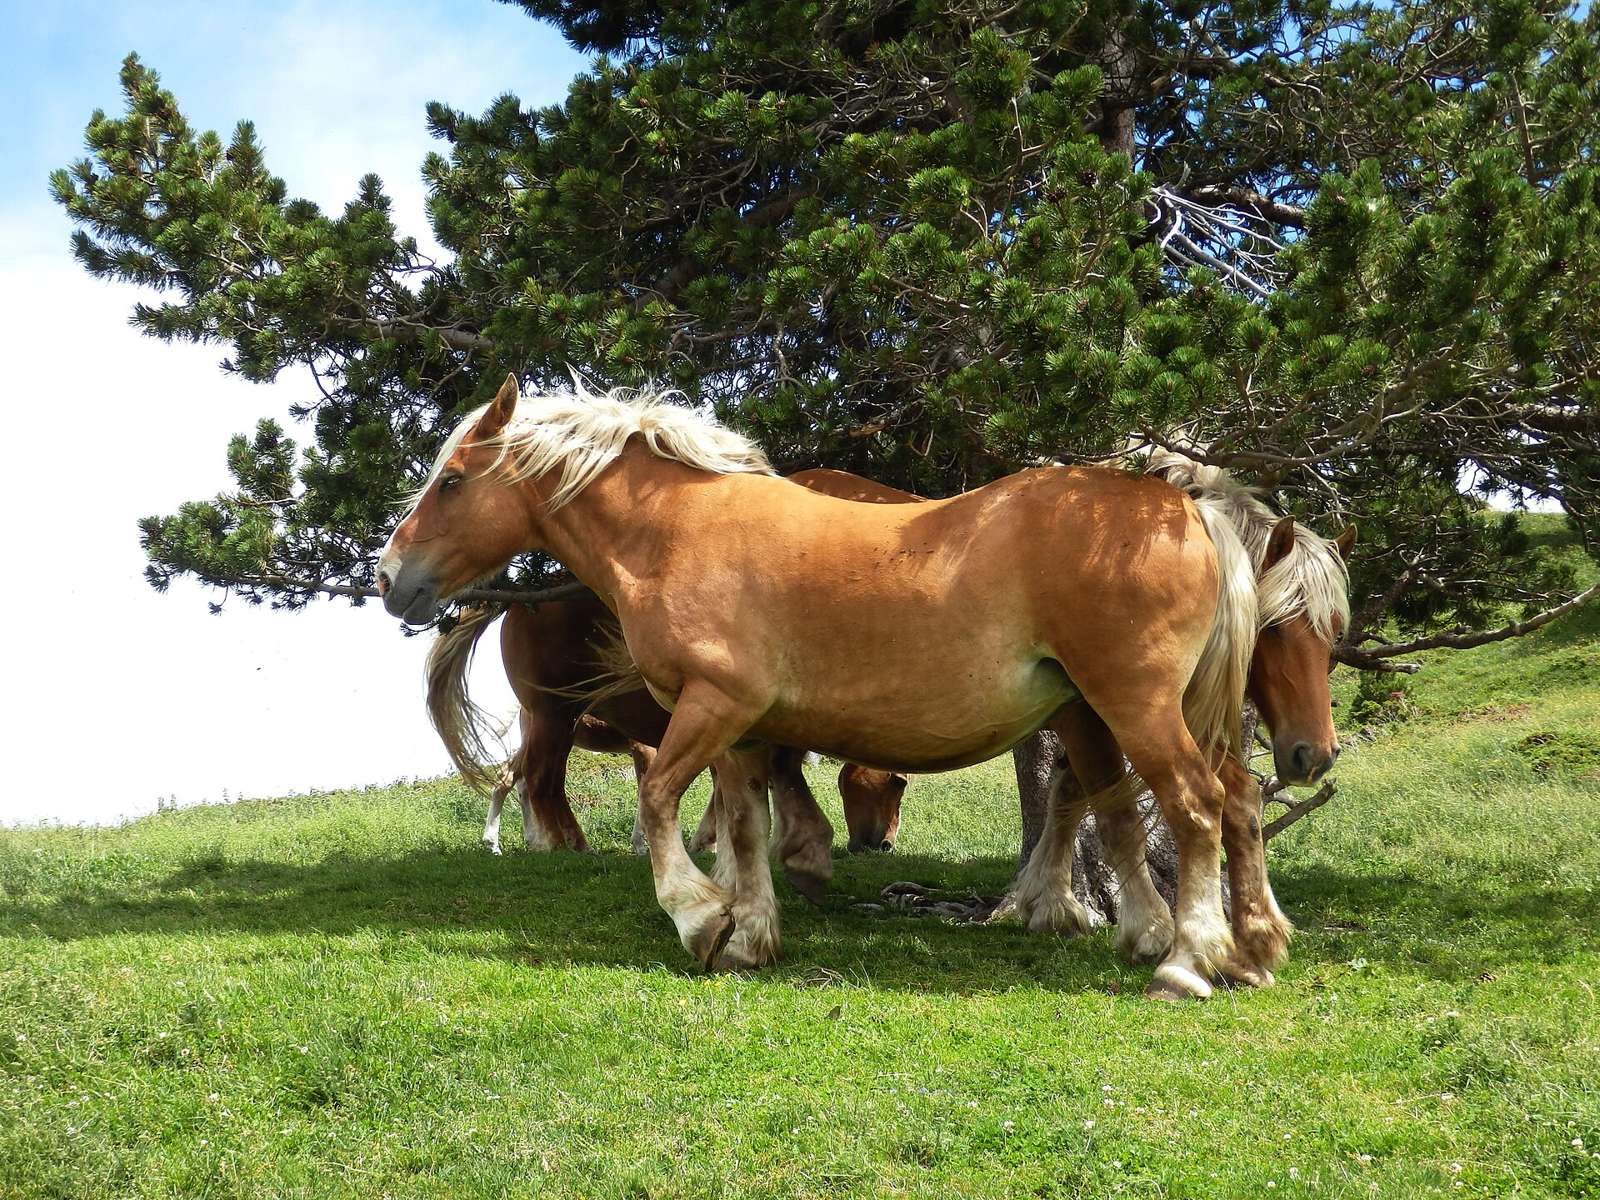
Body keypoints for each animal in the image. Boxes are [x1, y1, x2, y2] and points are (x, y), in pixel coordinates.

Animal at [379, 376, 1350, 999]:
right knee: (1222, 801)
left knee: (1194, 806)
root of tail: (1181, 507)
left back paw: (1188, 961)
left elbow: (660, 804)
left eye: (452, 481)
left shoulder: (713, 707)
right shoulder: (738, 725)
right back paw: (1246, 948)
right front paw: (751, 930)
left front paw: (699, 919)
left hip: (1136, 706)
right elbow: (745, 822)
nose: (392, 578)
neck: (678, 533)